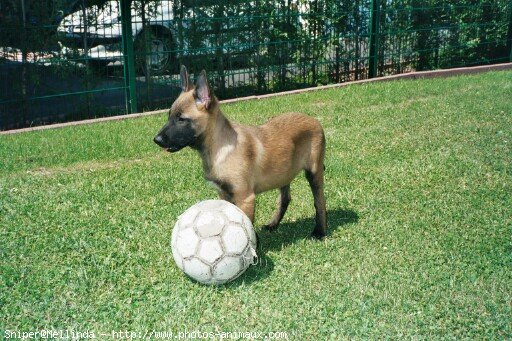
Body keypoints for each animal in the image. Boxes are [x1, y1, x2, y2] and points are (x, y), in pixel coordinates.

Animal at [153, 65, 328, 238]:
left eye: (181, 119)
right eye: (169, 116)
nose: (157, 139)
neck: (220, 148)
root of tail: (314, 121)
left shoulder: (245, 197)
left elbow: (248, 227)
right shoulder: (224, 195)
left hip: (314, 173)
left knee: (319, 201)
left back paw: (319, 231)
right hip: (284, 173)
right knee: (285, 199)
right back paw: (273, 224)